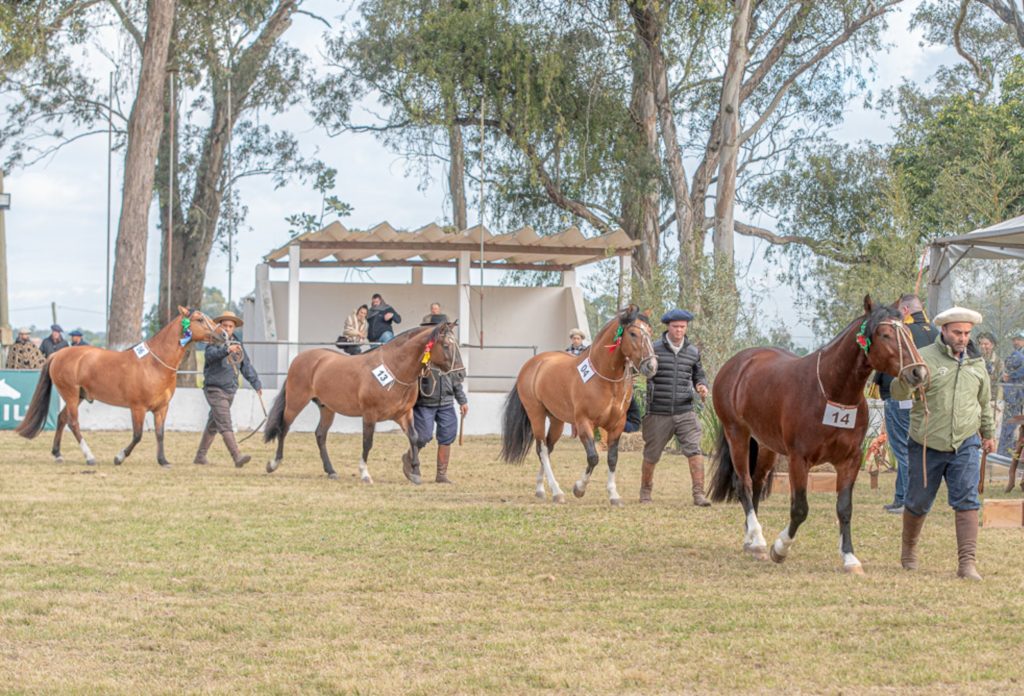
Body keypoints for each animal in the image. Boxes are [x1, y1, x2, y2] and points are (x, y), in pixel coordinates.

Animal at [16, 305, 225, 464]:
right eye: (199, 319)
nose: (223, 334)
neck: (154, 364)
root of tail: (58, 354)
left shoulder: (161, 408)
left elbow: (160, 434)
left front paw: (163, 460)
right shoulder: (138, 408)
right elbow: (138, 435)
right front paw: (119, 457)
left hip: (79, 396)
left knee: (61, 418)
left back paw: (57, 453)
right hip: (71, 395)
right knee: (73, 423)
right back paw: (89, 457)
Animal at [264, 321, 460, 483]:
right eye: (446, 345)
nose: (460, 374)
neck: (394, 369)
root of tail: (300, 359)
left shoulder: (404, 414)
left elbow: (414, 437)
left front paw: (415, 473)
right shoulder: (369, 414)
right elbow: (368, 442)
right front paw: (365, 473)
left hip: (327, 408)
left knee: (320, 435)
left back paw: (331, 471)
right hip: (295, 402)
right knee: (284, 428)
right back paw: (273, 464)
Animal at [501, 305, 655, 505]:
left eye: (650, 332)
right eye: (633, 333)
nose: (652, 365)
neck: (605, 379)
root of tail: (532, 364)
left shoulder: (617, 424)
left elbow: (612, 458)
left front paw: (613, 494)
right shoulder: (584, 422)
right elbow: (593, 457)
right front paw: (579, 488)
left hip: (556, 420)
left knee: (548, 449)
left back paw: (541, 489)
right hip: (536, 414)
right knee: (542, 449)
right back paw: (557, 491)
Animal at [712, 296, 929, 573]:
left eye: (909, 334)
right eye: (885, 334)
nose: (918, 372)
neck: (831, 391)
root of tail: (739, 362)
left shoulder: (850, 461)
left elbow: (844, 508)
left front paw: (849, 557)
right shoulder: (798, 460)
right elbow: (800, 509)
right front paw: (780, 548)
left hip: (765, 445)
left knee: (757, 484)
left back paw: (751, 540)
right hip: (737, 433)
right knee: (745, 485)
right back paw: (758, 539)